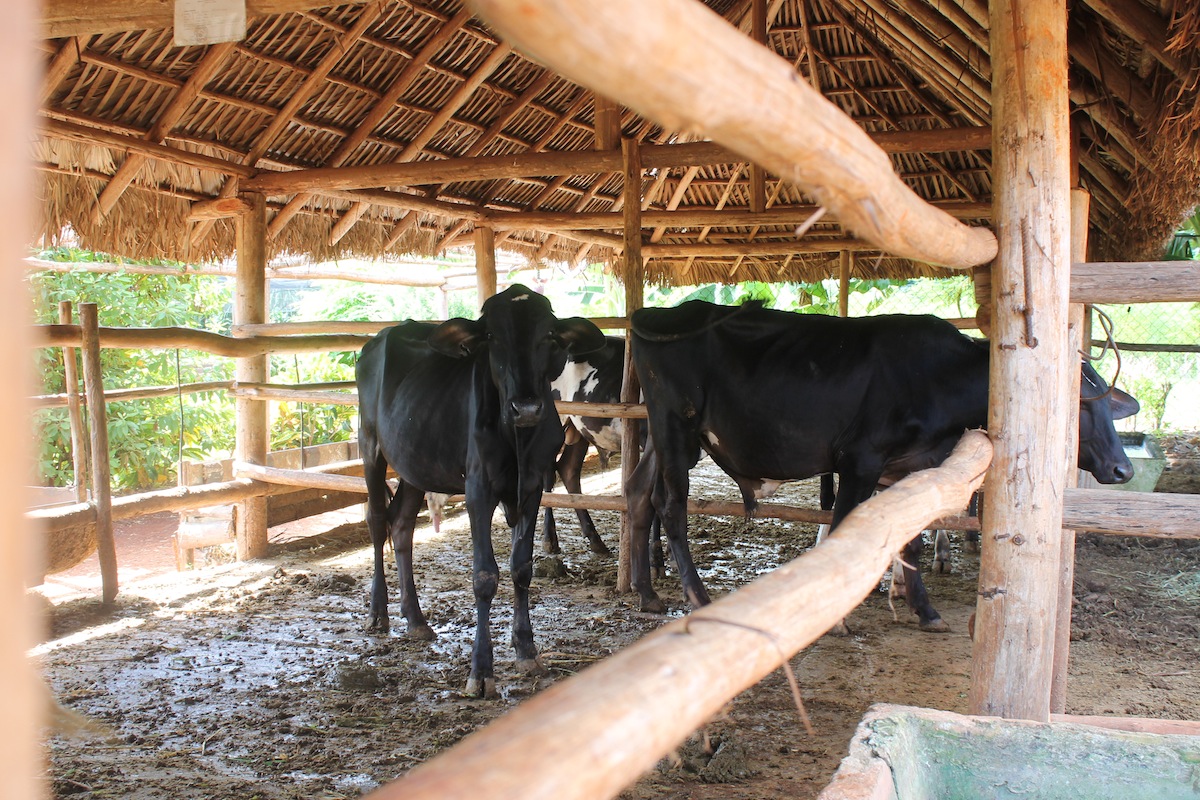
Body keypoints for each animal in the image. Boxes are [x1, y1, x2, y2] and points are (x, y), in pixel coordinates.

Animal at [355, 285, 605, 697]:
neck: (516, 438)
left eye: (549, 335)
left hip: (414, 464)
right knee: (377, 521)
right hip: (370, 445)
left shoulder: (531, 487)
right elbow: (485, 576)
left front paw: (526, 650)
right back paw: (378, 613)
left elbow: (521, 567)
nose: (526, 406)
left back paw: (416, 619)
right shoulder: (478, 489)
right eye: (492, 336)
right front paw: (481, 670)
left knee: (401, 524)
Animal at [625, 300, 1139, 632]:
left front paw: (925, 612)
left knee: (639, 494)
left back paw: (648, 594)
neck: (939, 376)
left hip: (665, 435)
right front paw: (837, 620)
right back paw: (697, 596)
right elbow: (842, 530)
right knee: (672, 507)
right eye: (1081, 406)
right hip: (675, 425)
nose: (1123, 470)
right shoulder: (860, 460)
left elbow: (911, 541)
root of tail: (652, 313)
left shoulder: (910, 467)